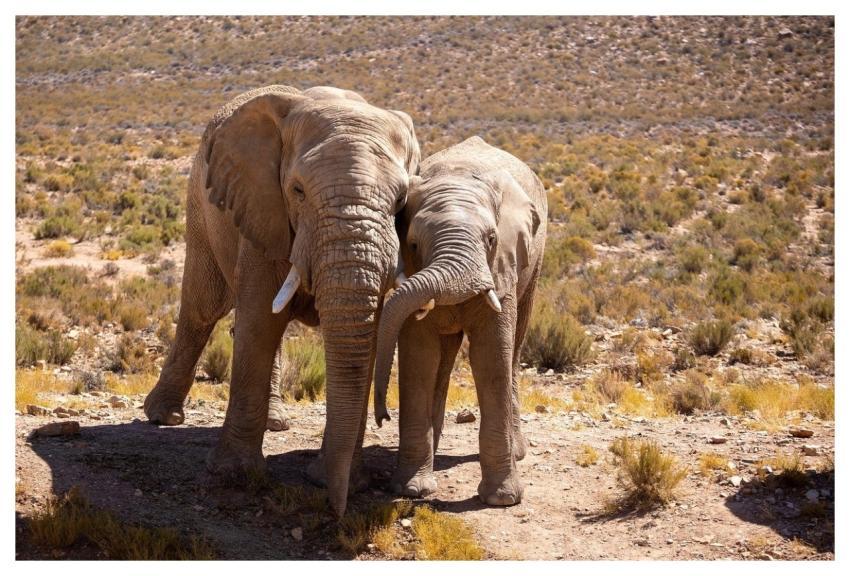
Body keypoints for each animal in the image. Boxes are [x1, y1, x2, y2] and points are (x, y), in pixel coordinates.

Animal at [143, 85, 420, 516]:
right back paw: (163, 416)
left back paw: (276, 422)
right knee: (203, 308)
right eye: (298, 191)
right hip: (200, 204)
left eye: (401, 201)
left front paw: (339, 479)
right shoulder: (262, 206)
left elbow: (367, 334)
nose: (337, 508)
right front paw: (234, 476)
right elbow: (258, 322)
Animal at [372, 136, 547, 506]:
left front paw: (502, 499)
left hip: (534, 265)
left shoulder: (503, 265)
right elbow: (419, 355)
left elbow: (491, 355)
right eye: (413, 243)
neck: (457, 176)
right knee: (444, 356)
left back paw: (518, 451)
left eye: (492, 239)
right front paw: (412, 490)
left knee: (514, 349)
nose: (382, 416)